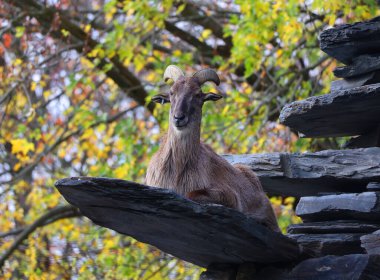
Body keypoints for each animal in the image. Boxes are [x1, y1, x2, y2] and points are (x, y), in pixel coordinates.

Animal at [145, 65, 280, 232]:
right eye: (171, 92)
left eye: (198, 94)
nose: (179, 118)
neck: (178, 169)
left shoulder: (228, 196)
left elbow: (191, 195)